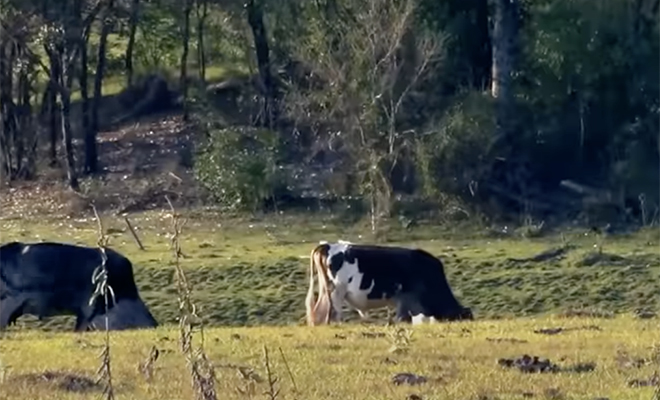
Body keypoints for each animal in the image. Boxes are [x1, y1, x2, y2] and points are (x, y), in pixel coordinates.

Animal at [306, 241, 472, 324]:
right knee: (333, 312)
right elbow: (403, 319)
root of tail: (327, 245)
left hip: (327, 290)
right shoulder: (406, 300)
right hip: (336, 291)